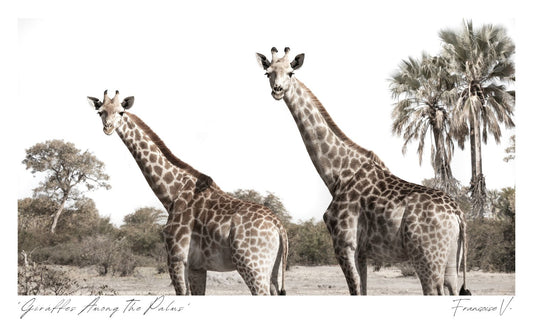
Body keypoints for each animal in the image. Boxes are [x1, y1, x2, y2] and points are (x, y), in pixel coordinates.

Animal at [87, 90, 286, 296]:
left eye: (121, 112)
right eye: (100, 112)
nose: (108, 128)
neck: (172, 194)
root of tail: (279, 227)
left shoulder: (176, 258)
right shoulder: (197, 266)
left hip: (253, 266)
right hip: (274, 271)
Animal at [256, 47, 468, 296]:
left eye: (290, 72)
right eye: (268, 72)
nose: (277, 90)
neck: (338, 175)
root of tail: (458, 214)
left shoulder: (345, 244)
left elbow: (355, 290)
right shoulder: (363, 252)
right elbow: (364, 290)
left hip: (427, 258)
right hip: (452, 261)